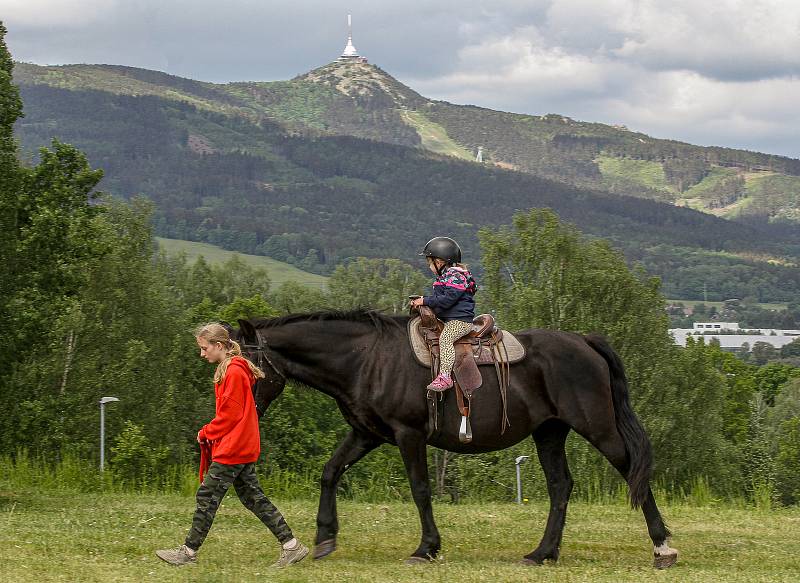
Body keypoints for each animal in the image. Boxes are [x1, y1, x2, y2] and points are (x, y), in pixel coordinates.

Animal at [234, 312, 680, 568]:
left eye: (247, 363)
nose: (240, 408)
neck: (366, 359)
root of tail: (584, 341)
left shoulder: (408, 434)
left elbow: (420, 489)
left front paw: (426, 548)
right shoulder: (367, 434)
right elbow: (330, 472)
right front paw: (325, 537)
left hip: (598, 427)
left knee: (632, 472)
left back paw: (662, 548)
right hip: (549, 432)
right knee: (560, 486)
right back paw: (542, 553)